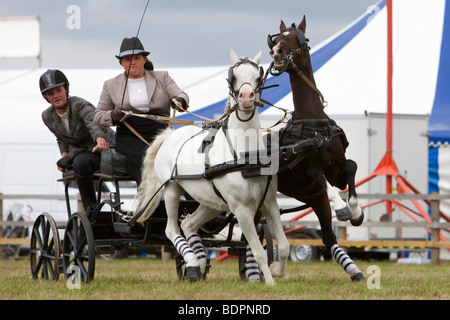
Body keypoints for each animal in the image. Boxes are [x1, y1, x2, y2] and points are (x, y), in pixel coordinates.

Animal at [134, 48, 288, 284]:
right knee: (172, 229)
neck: (245, 154)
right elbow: (258, 251)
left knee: (188, 224)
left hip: (210, 203)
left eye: (258, 76)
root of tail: (170, 135)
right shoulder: (242, 210)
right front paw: (270, 283)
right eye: (232, 77)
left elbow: (285, 246)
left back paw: (198, 265)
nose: (246, 98)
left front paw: (277, 270)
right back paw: (192, 262)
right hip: (171, 190)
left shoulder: (269, 203)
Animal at [268, 15, 366, 280]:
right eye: (276, 39)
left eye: (297, 39)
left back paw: (354, 271)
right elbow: (319, 174)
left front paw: (355, 211)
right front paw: (342, 208)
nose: (276, 53)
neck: (313, 126)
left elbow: (351, 168)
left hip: (313, 199)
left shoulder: (337, 172)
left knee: (328, 238)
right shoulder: (308, 174)